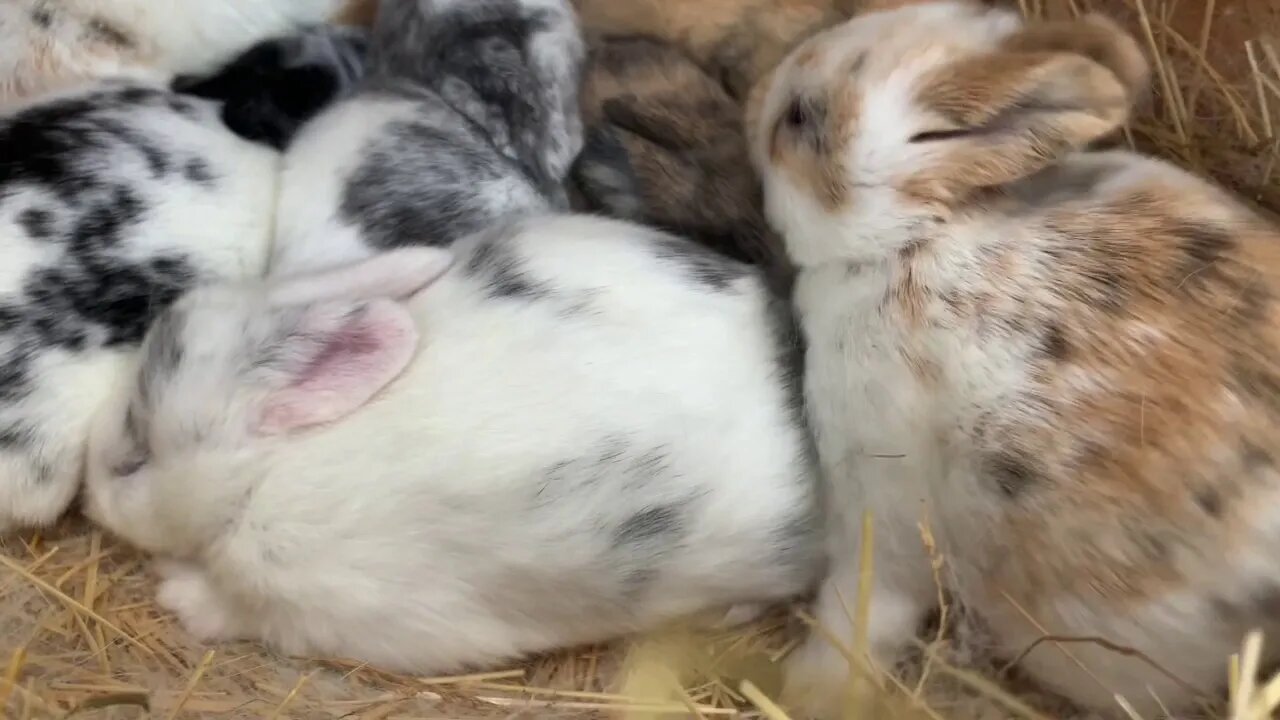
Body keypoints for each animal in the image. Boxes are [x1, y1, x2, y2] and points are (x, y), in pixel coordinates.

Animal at [80, 212, 823, 674]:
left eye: (133, 461)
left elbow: (233, 607)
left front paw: (178, 592)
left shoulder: (312, 601)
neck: (263, 473)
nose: (88, 497)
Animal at [745, 1, 1280, 716]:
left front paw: (808, 689)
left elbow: (864, 606)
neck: (913, 240)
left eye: (801, 117)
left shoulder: (879, 496)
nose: (755, 98)